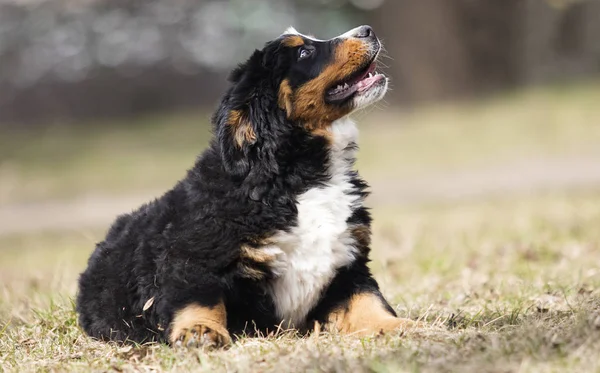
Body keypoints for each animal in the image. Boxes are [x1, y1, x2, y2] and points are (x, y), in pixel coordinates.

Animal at [77, 24, 420, 348]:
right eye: (304, 53)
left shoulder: (348, 263)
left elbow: (368, 300)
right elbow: (199, 299)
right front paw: (200, 331)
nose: (367, 30)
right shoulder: (192, 255)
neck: (299, 176)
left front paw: (400, 325)